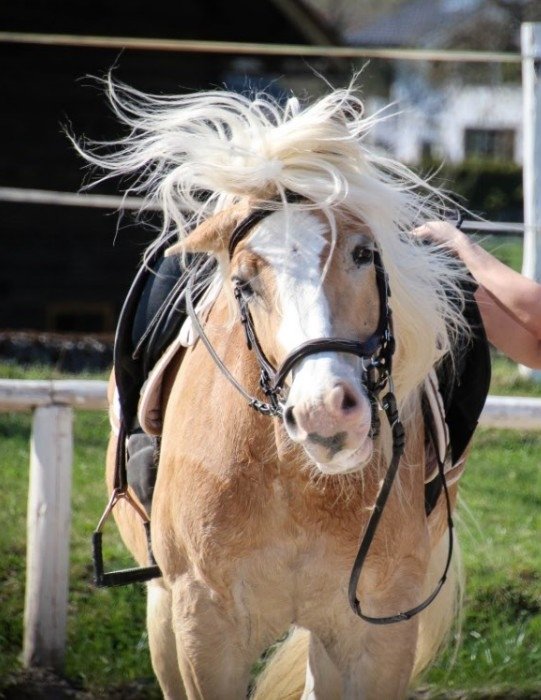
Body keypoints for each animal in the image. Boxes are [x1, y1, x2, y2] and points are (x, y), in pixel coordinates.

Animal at [85, 82, 471, 699]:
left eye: (363, 253)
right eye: (243, 282)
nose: (325, 414)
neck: (292, 480)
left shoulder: (377, 632)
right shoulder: (204, 627)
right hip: (162, 609)